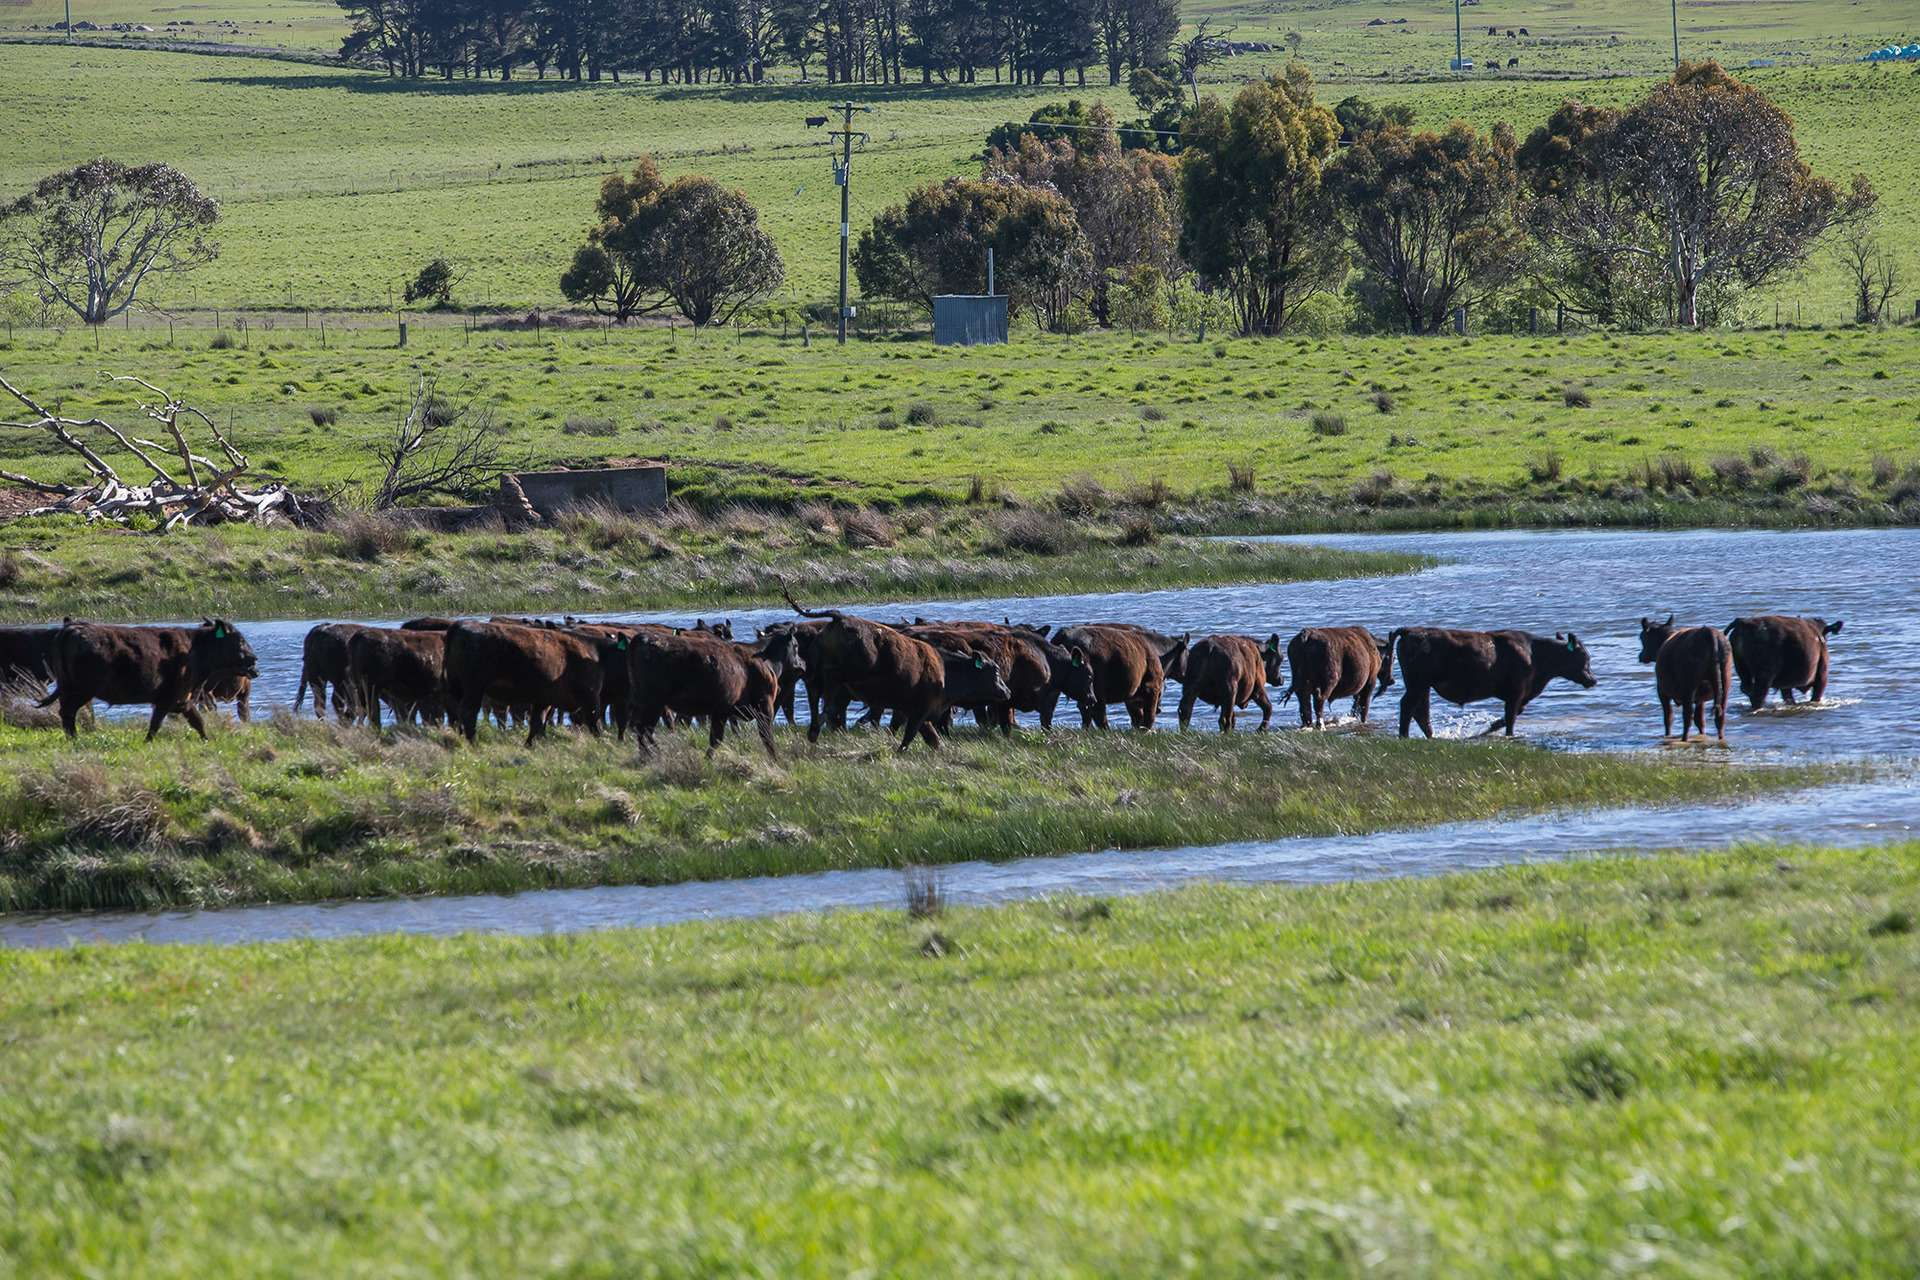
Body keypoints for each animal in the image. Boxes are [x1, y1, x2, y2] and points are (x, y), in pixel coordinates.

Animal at [40, 619, 258, 740]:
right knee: (67, 713)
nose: (254, 659)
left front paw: (208, 739)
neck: (194, 648)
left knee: (66, 714)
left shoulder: (181, 700)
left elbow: (196, 721)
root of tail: (72, 629)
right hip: (80, 690)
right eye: (240, 640)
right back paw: (74, 739)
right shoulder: (171, 698)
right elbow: (158, 724)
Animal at [442, 620, 617, 745]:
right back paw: (473, 743)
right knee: (468, 712)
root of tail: (460, 625)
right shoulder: (590, 697)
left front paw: (529, 744)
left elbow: (537, 721)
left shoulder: (544, 700)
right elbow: (595, 723)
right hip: (474, 688)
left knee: (456, 712)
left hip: (457, 687)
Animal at [786, 594, 1009, 751]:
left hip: (818, 677)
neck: (944, 669)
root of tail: (840, 618)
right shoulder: (918, 711)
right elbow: (908, 735)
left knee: (817, 699)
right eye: (995, 671)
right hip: (844, 675)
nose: (1007, 692)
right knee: (830, 700)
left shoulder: (912, 711)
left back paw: (814, 730)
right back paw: (820, 725)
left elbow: (929, 737)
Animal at [1049, 623, 1178, 729]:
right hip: (1096, 690)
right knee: (1098, 714)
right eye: (1164, 688)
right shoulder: (1152, 688)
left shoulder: (1131, 698)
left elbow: (1137, 718)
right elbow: (1148, 717)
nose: (1159, 709)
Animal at [1390, 627, 1597, 738]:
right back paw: (1404, 736)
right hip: (1417, 683)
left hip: (1423, 686)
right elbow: (1511, 718)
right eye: (1585, 657)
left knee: (1421, 711)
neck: (1536, 653)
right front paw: (1508, 735)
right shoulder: (1516, 693)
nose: (1593, 680)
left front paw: (1487, 729)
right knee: (1408, 706)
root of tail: (1411, 630)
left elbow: (1508, 717)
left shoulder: (1521, 696)